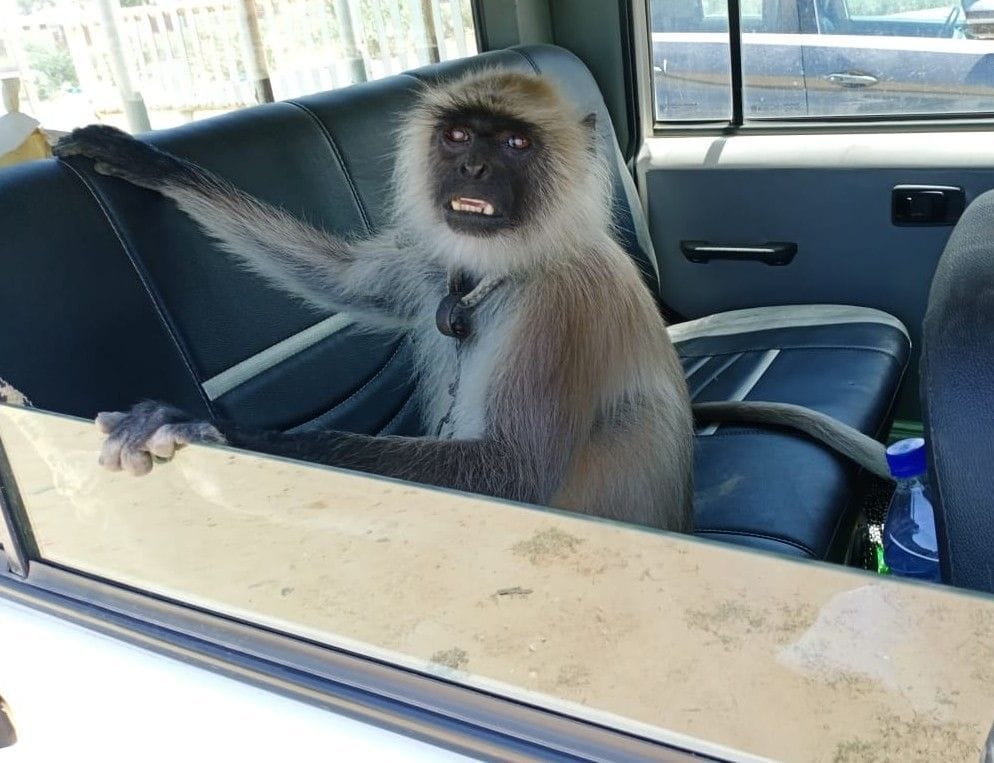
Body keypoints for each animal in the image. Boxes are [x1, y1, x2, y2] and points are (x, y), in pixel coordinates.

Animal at [53, 69, 893, 536]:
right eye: (459, 137)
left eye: (515, 145)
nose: (478, 168)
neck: (506, 270)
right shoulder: (436, 268)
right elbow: (346, 280)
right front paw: (144, 161)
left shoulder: (558, 311)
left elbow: (511, 476)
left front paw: (215, 430)